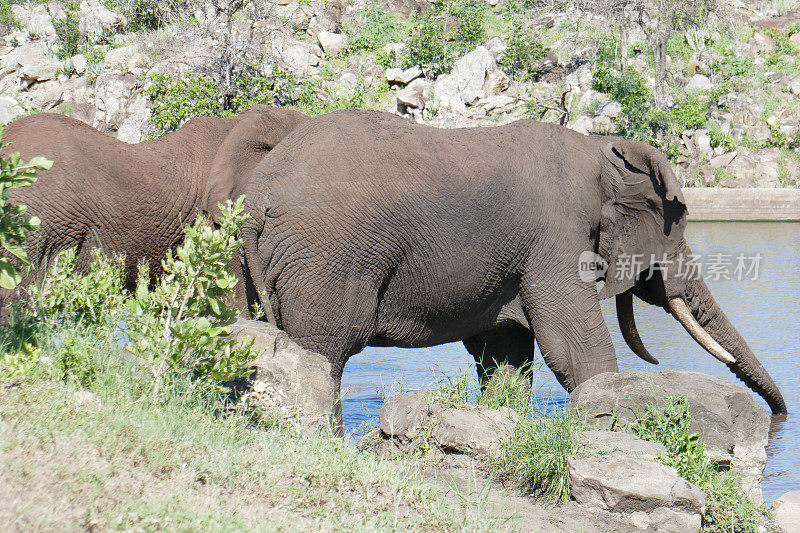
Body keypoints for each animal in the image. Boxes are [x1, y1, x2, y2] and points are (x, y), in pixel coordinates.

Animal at [234, 110, 784, 422]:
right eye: (678, 230)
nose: (781, 418)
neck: (601, 151)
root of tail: (258, 199)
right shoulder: (555, 239)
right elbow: (574, 349)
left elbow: (505, 355)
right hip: (329, 260)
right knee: (324, 355)